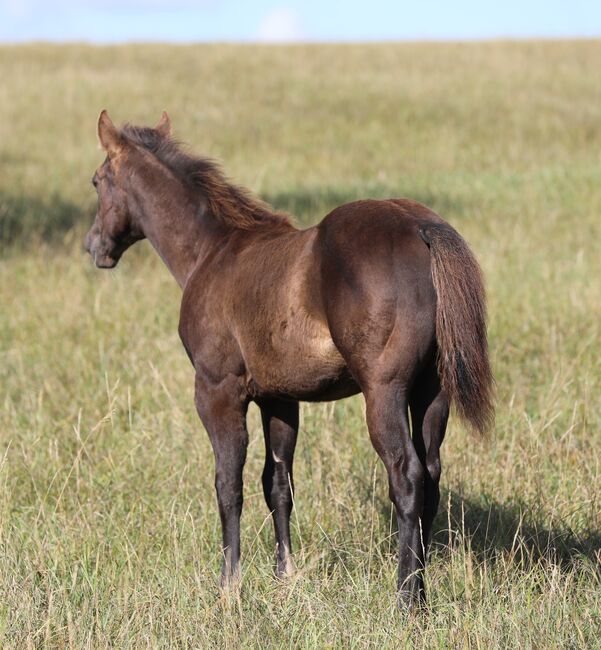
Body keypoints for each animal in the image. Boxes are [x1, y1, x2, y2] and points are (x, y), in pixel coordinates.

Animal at [84, 111, 492, 608]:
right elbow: (278, 484)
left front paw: (229, 586)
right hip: (432, 393)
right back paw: (424, 590)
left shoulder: (217, 392)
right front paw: (285, 576)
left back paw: (406, 598)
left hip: (384, 393)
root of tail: (419, 226)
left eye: (97, 181)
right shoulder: (279, 399)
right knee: (431, 475)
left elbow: (228, 485)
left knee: (407, 476)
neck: (212, 252)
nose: (94, 246)